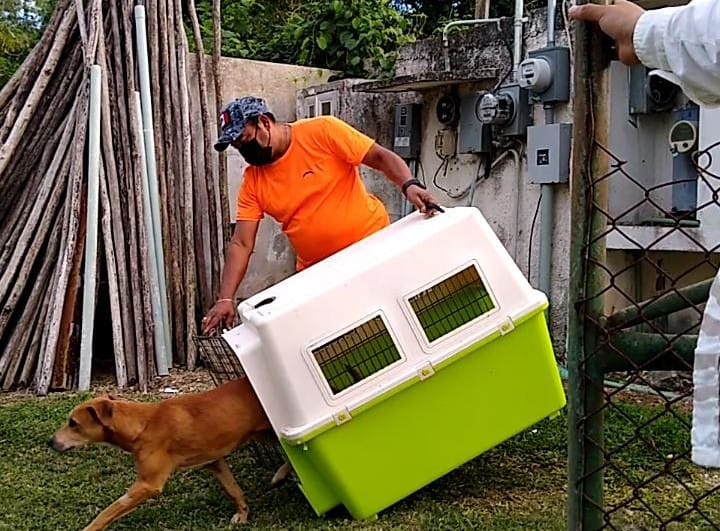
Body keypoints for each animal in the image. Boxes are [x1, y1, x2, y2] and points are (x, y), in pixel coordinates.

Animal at [48, 380, 276, 528]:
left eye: (73, 423)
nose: (50, 441)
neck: (141, 424)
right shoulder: (213, 461)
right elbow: (233, 490)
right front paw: (243, 515)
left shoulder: (147, 485)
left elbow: (108, 512)